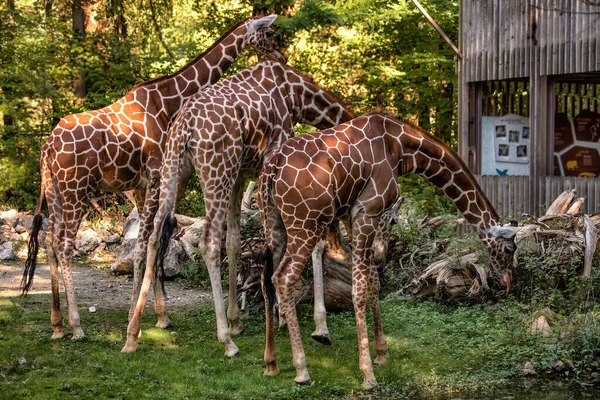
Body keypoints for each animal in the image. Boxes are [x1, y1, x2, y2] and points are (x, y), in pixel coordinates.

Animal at [19, 11, 288, 340]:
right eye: (269, 33)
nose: (282, 56)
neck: (169, 100)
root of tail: (47, 146)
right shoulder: (157, 177)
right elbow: (148, 242)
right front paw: (143, 316)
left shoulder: (141, 186)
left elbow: (148, 241)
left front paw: (155, 314)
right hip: (76, 191)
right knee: (65, 246)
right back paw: (76, 325)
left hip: (55, 191)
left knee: (49, 242)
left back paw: (57, 324)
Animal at [122, 58, 356, 354]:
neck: (298, 98)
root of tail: (185, 126)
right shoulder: (275, 164)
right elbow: (296, 243)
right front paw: (307, 323)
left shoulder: (240, 175)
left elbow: (234, 241)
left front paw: (238, 320)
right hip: (216, 171)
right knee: (208, 242)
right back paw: (226, 341)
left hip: (176, 171)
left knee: (154, 235)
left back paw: (134, 333)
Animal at [258, 111, 520, 390]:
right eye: (508, 249)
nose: (507, 284)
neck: (402, 148)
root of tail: (271, 168)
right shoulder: (368, 211)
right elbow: (360, 289)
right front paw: (368, 374)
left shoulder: (352, 216)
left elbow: (374, 282)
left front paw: (382, 352)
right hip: (306, 222)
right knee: (283, 277)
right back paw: (302, 370)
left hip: (272, 221)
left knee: (267, 278)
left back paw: (271, 363)